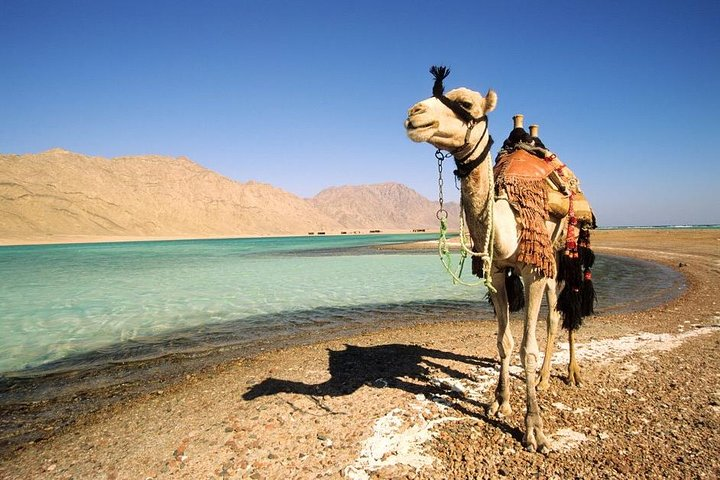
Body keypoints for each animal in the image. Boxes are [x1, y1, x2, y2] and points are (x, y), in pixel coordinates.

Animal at [404, 67, 590, 453]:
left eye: (465, 104)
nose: (414, 113)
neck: (509, 220)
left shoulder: (533, 272)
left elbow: (526, 349)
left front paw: (534, 429)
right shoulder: (498, 272)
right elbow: (504, 342)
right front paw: (499, 403)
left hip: (566, 253)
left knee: (562, 312)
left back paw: (567, 374)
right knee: (555, 313)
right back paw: (546, 378)